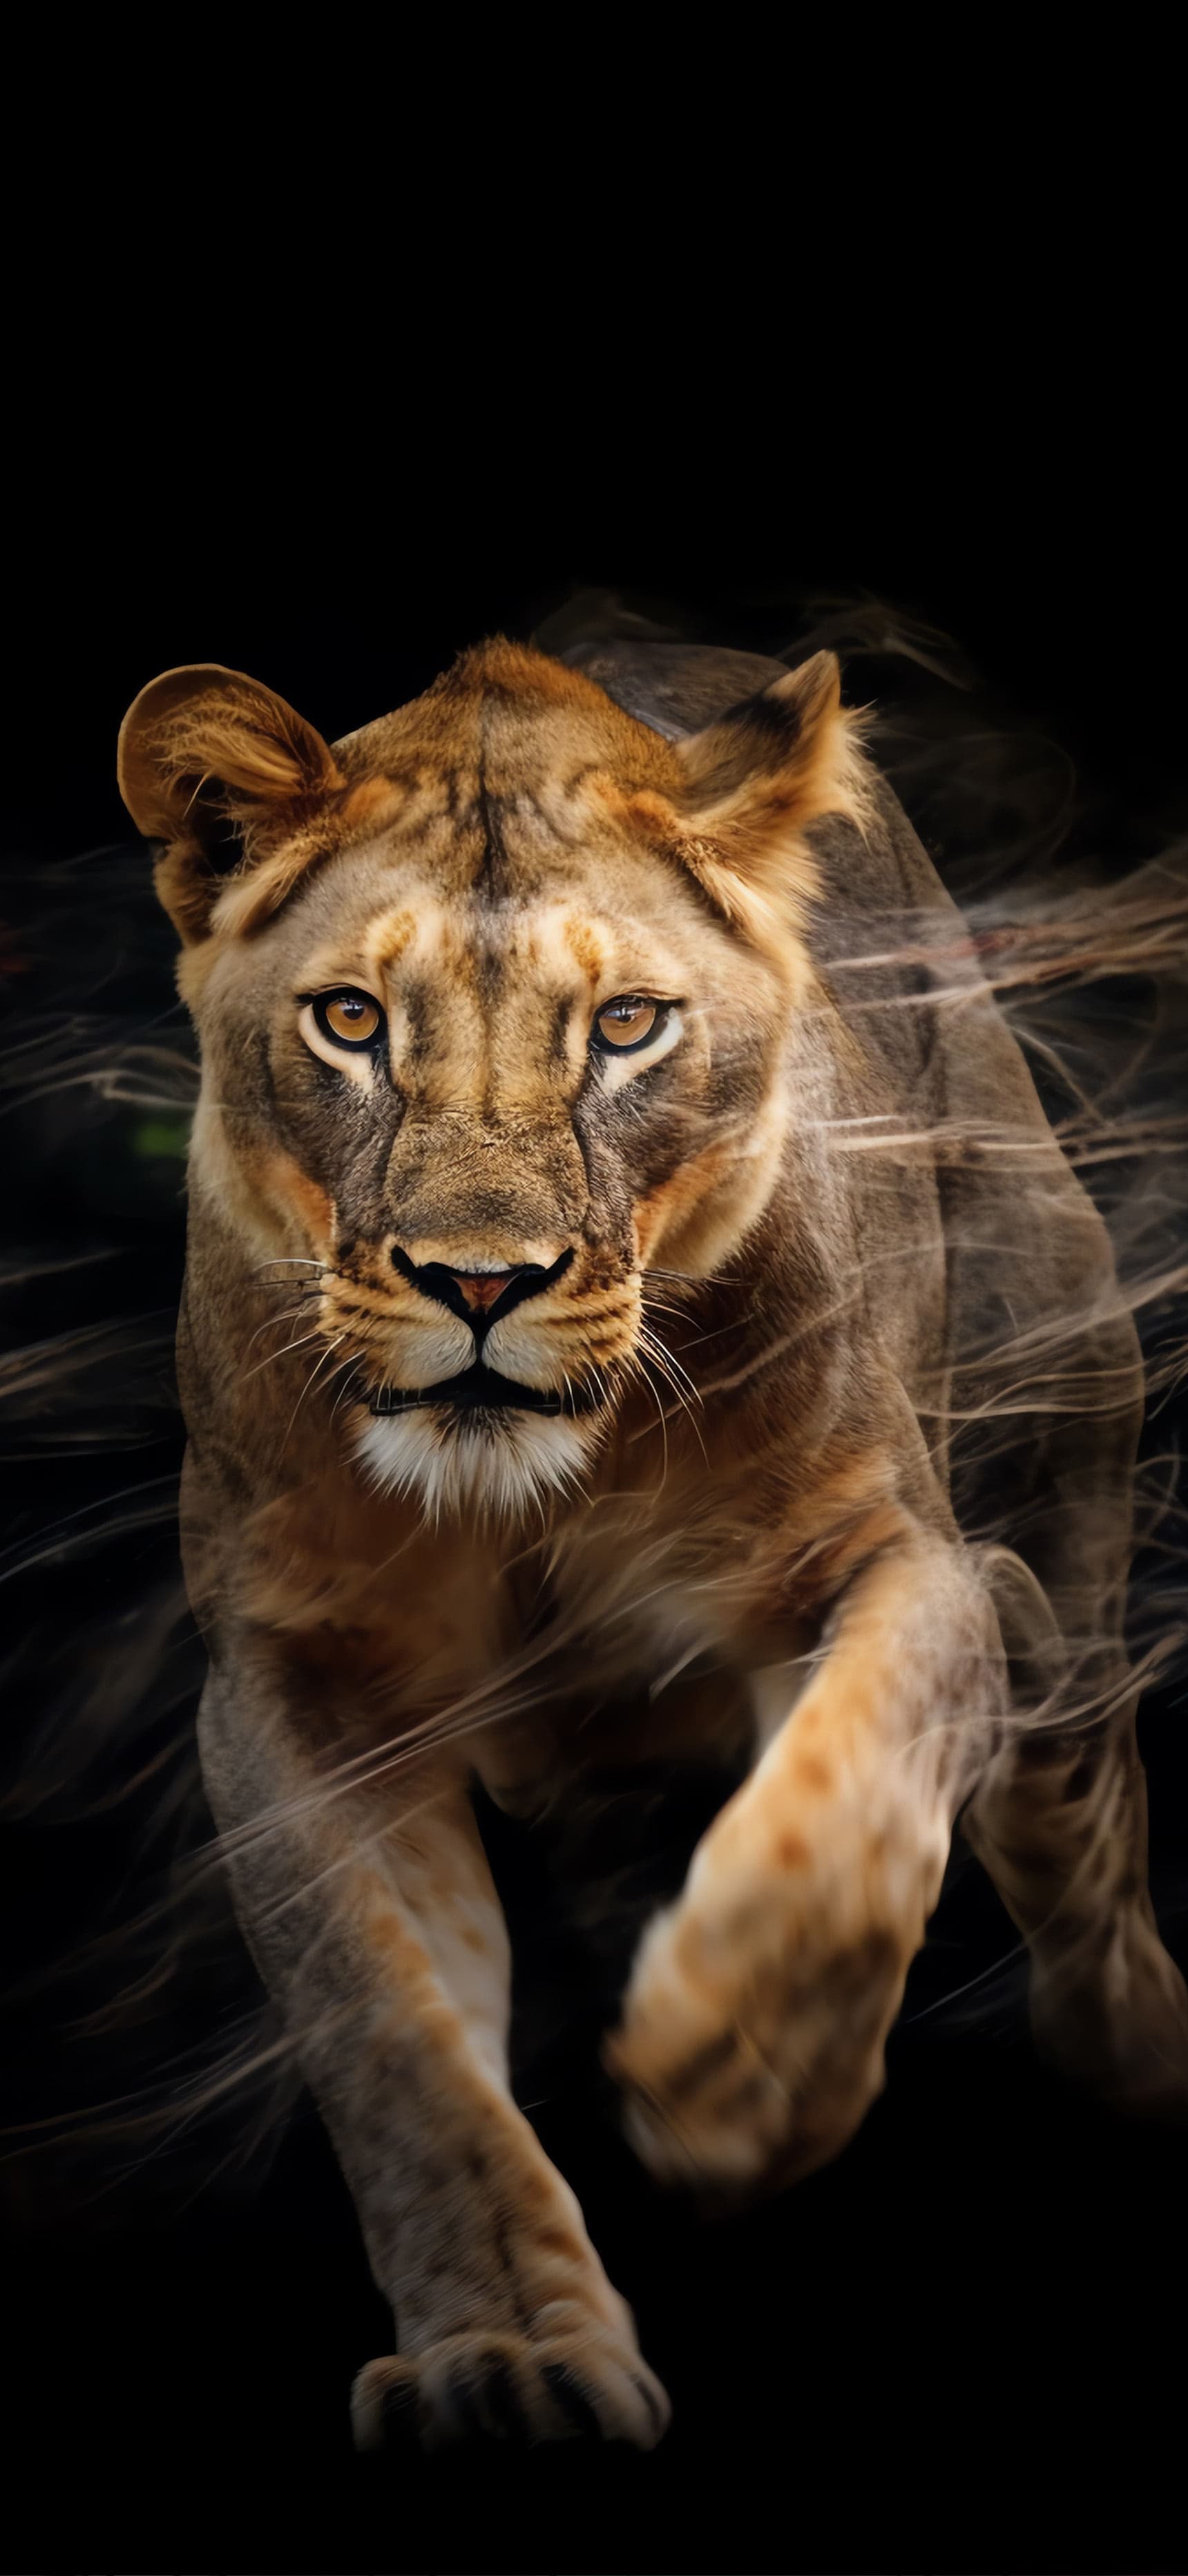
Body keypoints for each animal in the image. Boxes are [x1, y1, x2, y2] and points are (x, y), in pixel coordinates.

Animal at [117, 628, 1188, 2451]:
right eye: (350, 1021)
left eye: (623, 1025)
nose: (479, 1282)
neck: (536, 1502)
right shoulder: (292, 1689)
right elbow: (392, 2035)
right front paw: (506, 2355)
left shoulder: (874, 1546)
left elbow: (857, 1763)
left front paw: (736, 2065)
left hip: (1048, 1351)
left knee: (1050, 1710)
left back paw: (1120, 2015)